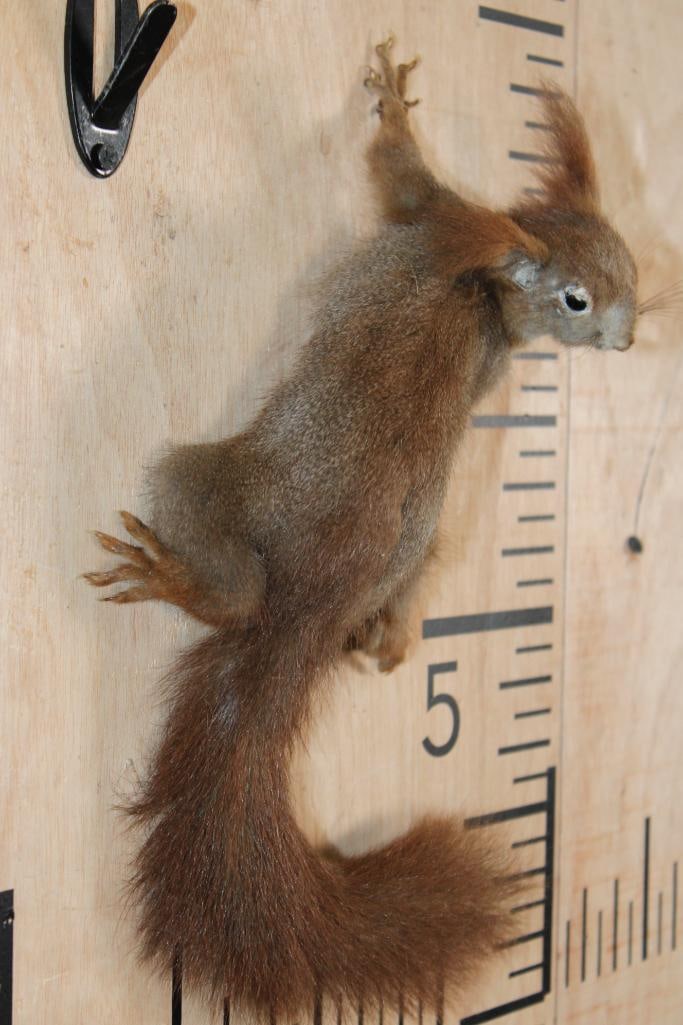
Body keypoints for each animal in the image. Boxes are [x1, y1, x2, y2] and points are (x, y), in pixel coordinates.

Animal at [85, 37, 637, 1019]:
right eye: (583, 298)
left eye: (625, 291)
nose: (629, 337)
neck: (494, 292)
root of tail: (305, 614)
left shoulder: (435, 213)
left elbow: (399, 172)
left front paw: (389, 100)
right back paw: (384, 632)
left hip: (198, 482)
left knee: (231, 589)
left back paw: (180, 580)